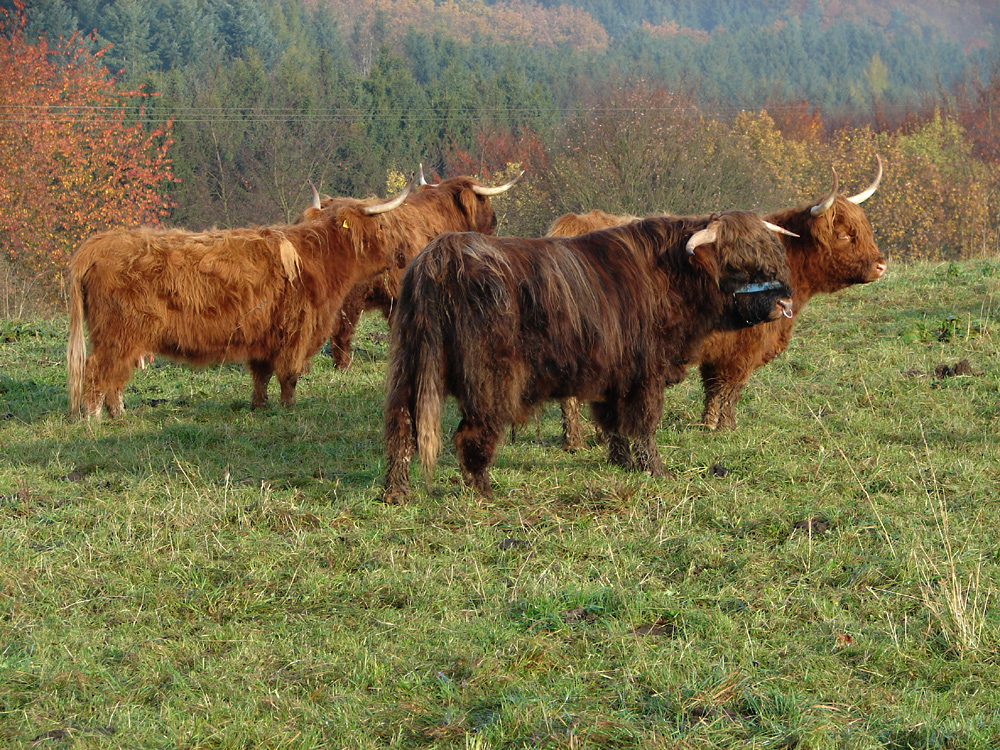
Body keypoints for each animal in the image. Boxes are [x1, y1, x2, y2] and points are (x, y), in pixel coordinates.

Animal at [66, 181, 416, 418]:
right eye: (382, 226)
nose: (401, 255)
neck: (318, 258)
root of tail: (97, 244)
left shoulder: (265, 333)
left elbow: (261, 375)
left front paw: (259, 406)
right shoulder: (296, 330)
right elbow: (289, 375)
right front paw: (289, 408)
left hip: (121, 337)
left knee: (114, 375)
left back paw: (118, 414)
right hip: (118, 332)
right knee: (97, 370)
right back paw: (93, 418)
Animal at [382, 212, 796, 506]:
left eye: (775, 258)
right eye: (739, 265)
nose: (783, 301)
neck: (667, 278)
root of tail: (442, 255)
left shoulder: (614, 373)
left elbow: (614, 423)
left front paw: (622, 462)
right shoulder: (646, 371)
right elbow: (644, 423)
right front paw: (656, 470)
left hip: (408, 366)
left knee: (401, 427)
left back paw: (395, 493)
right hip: (489, 378)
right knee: (470, 434)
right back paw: (484, 490)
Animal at [552, 155, 888, 444]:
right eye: (844, 235)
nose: (881, 265)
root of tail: (569, 226)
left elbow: (715, 389)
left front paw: (711, 424)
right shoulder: (740, 349)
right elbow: (727, 390)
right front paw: (722, 427)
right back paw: (580, 440)